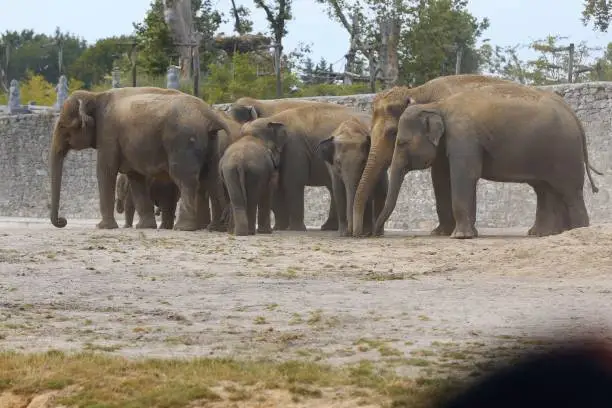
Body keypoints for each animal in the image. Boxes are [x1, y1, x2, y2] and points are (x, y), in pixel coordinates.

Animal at [49, 86, 231, 231]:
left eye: (63, 126)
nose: (63, 221)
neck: (95, 95)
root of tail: (209, 114)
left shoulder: (108, 134)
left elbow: (105, 171)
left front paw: (103, 227)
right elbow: (135, 177)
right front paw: (145, 227)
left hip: (183, 141)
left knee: (185, 179)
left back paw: (183, 228)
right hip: (211, 142)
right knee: (212, 178)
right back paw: (216, 228)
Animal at [241, 103, 370, 231]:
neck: (273, 119)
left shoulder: (294, 148)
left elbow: (293, 182)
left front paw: (295, 229)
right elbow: (277, 185)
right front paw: (279, 228)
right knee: (332, 187)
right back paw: (328, 227)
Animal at [376, 81, 600, 237]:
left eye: (401, 142)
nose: (376, 233)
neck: (438, 105)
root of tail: (574, 116)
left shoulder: (463, 137)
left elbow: (464, 176)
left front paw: (461, 237)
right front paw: (470, 234)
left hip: (565, 154)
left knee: (569, 191)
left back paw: (577, 231)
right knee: (545, 189)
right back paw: (542, 234)